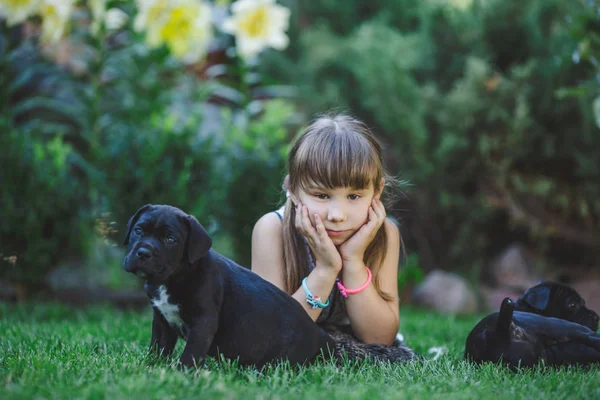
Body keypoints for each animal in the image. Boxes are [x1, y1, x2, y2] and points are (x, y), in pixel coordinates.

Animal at [123, 205, 336, 370]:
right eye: (138, 231)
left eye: (170, 240)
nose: (143, 252)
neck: (172, 279)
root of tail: (320, 336)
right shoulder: (162, 320)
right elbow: (158, 347)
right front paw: (150, 367)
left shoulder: (202, 323)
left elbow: (191, 353)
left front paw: (181, 374)